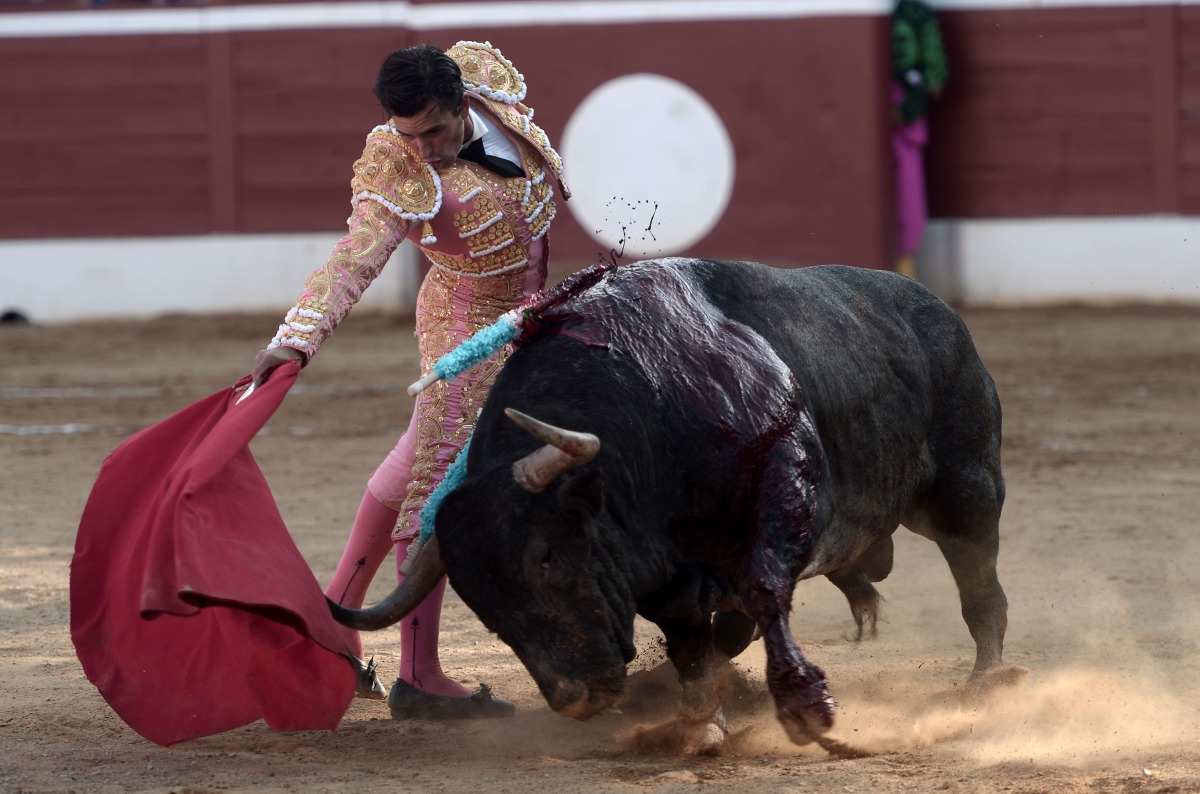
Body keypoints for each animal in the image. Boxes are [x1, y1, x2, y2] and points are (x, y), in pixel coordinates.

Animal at [331, 260, 1012, 753]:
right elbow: (689, 640)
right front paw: (700, 723)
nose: (576, 697)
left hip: (967, 489)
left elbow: (764, 591)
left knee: (981, 585)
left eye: (546, 556)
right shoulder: (662, 577)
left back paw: (988, 683)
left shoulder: (783, 487)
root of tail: (936, 310)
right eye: (479, 603)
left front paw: (806, 705)